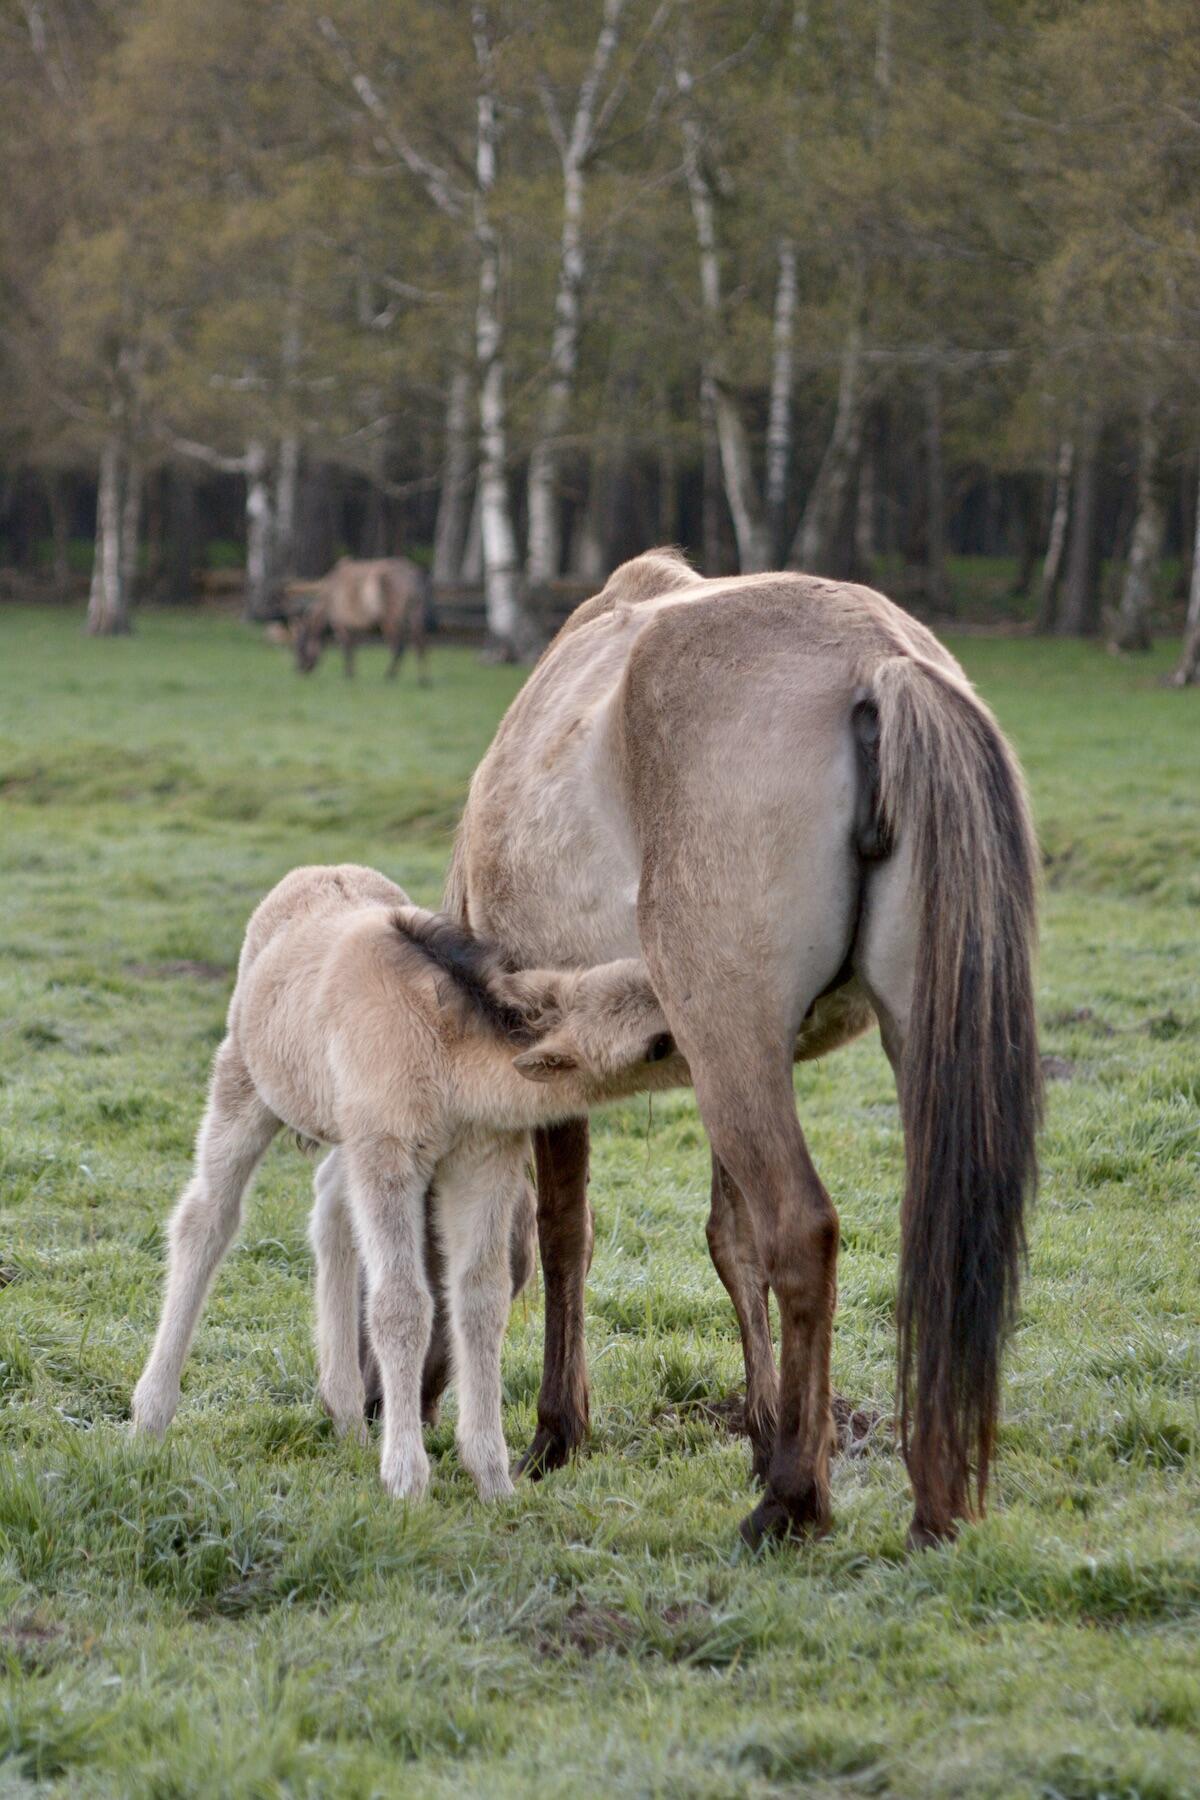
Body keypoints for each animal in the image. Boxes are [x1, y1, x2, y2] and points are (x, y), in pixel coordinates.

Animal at [131, 867, 683, 1504]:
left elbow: (481, 1300)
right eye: (659, 1044)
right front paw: (406, 1479)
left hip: (346, 1130)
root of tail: (316, 872)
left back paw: (345, 1413)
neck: (446, 1049)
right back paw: (150, 1414)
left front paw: (492, 1478)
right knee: (208, 1216)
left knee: (330, 1209)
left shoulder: (481, 1161)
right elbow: (402, 1304)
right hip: (246, 1082)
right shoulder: (389, 1158)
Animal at [291, 554, 431, 680]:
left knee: (399, 647)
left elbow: (346, 649)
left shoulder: (340, 624)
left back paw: (390, 675)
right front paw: (353, 673)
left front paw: (348, 674)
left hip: (390, 620)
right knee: (420, 643)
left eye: (300, 647)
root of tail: (412, 575)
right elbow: (353, 649)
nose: (299, 669)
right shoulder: (355, 627)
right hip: (416, 615)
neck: (328, 596)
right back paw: (423, 679)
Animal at [440, 547, 1043, 1548]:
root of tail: (879, 662)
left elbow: (567, 1238)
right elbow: (732, 1242)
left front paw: (560, 1433)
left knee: (805, 1231)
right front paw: (764, 1428)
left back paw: (794, 1501)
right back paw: (931, 1508)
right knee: (928, 1244)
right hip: (831, 1045)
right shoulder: (722, 1060)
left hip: (736, 1041)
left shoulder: (567, 1067)